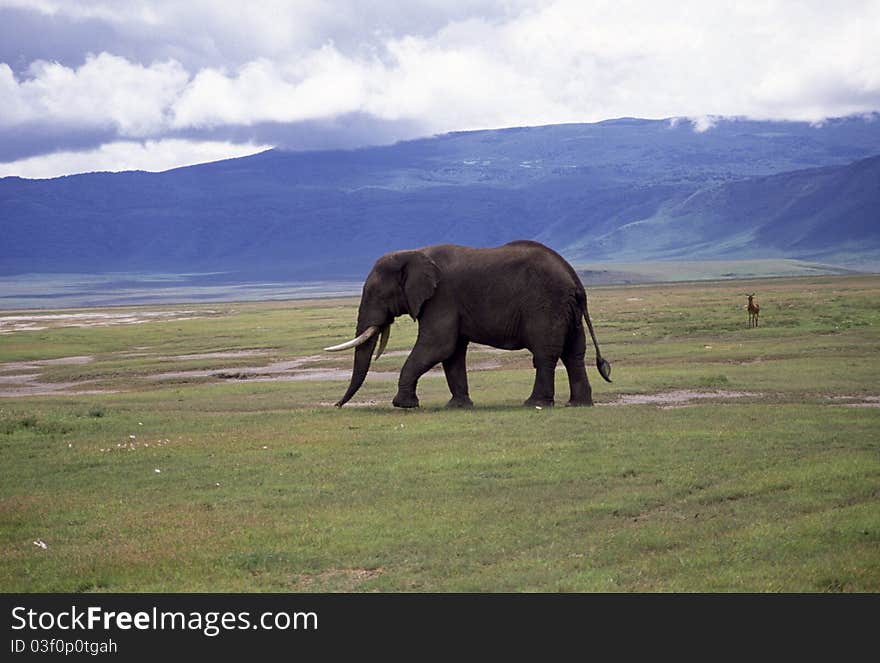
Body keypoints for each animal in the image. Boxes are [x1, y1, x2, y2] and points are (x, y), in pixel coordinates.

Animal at [324, 243, 612, 410]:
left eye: (375, 293)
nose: (336, 405)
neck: (413, 253)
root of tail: (574, 278)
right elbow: (452, 353)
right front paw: (458, 406)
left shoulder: (442, 297)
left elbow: (437, 345)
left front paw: (404, 405)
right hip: (568, 310)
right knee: (574, 354)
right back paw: (579, 405)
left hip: (547, 304)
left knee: (545, 355)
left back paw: (534, 404)